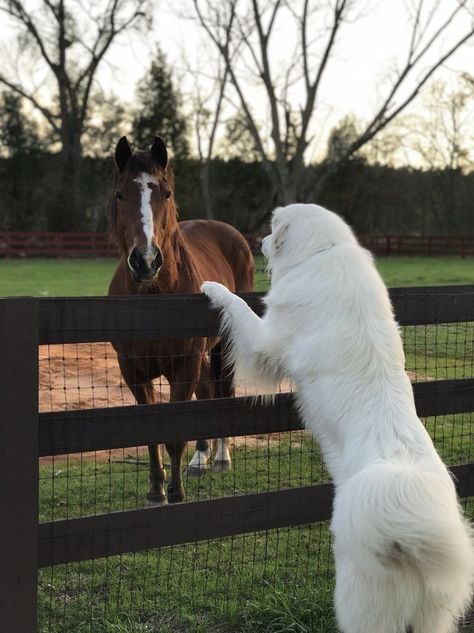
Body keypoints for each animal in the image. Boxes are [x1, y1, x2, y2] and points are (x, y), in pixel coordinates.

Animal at [109, 137, 254, 504]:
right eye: (120, 194)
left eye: (166, 193)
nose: (145, 260)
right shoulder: (133, 371)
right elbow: (153, 435)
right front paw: (156, 491)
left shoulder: (184, 365)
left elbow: (176, 433)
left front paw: (174, 494)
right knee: (206, 391)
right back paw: (200, 460)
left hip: (221, 348)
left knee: (221, 390)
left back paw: (220, 457)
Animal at [201, 204, 474, 632]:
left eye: (272, 227)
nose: (259, 241)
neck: (325, 250)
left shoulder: (265, 344)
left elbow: (240, 308)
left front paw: (213, 288)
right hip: (436, 613)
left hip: (359, 600)